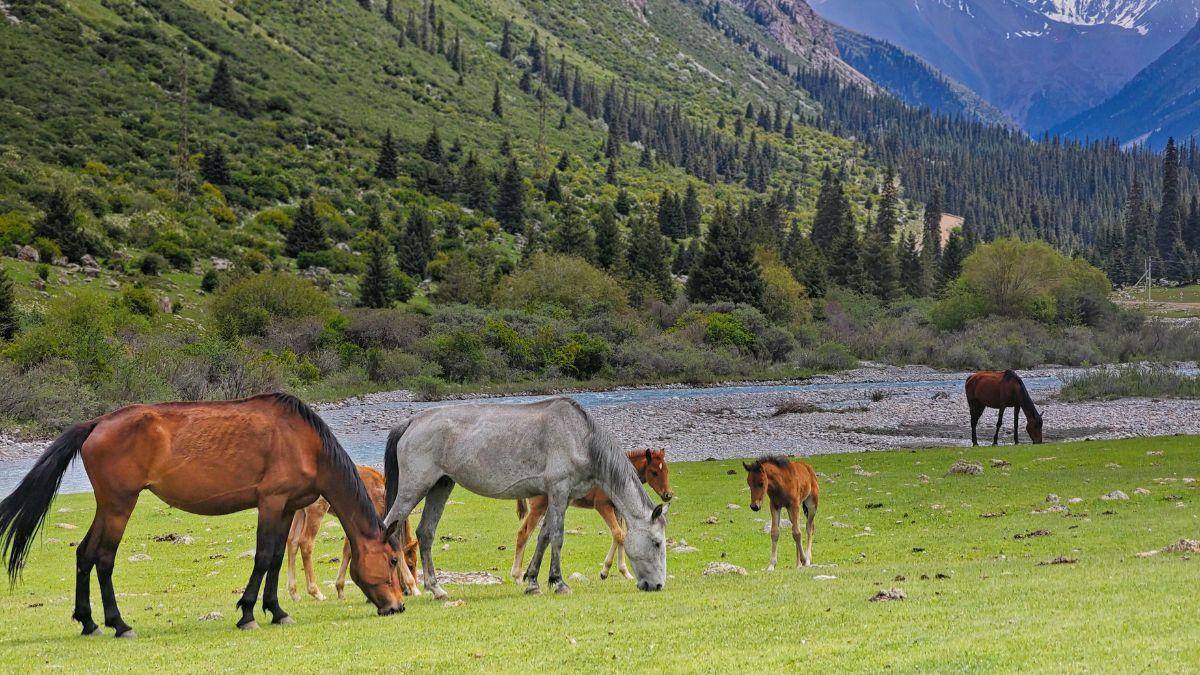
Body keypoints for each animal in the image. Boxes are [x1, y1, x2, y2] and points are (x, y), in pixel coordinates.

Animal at [0, 393, 405, 637]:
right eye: (391, 559)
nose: (397, 606)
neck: (304, 442)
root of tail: (97, 423)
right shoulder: (271, 503)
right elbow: (263, 557)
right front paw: (247, 614)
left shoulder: (288, 507)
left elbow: (275, 558)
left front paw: (276, 610)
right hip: (119, 505)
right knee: (104, 559)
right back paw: (119, 624)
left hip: (109, 506)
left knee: (85, 554)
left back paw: (88, 622)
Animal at [286, 465, 419, 602]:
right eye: (411, 565)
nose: (406, 592)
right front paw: (414, 587)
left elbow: (347, 551)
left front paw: (340, 588)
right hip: (316, 510)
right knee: (305, 543)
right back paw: (316, 592)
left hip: (300, 512)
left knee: (292, 541)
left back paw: (294, 593)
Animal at [510, 448, 673, 583]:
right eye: (654, 472)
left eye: (666, 470)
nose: (668, 495)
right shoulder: (602, 506)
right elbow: (618, 533)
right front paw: (605, 571)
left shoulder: (618, 510)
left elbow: (621, 535)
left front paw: (624, 572)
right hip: (538, 507)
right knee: (523, 533)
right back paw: (517, 575)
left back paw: (526, 573)